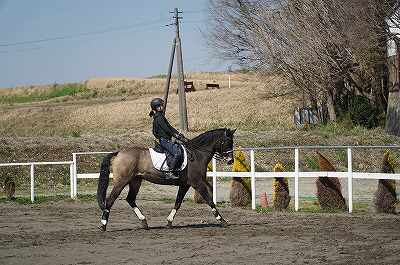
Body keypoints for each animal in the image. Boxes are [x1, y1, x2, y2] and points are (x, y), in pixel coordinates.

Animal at [97, 127, 236, 229]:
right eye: (226, 142)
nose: (230, 161)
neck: (196, 155)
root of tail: (119, 153)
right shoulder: (198, 184)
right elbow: (210, 201)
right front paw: (222, 220)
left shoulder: (185, 185)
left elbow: (177, 203)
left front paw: (169, 222)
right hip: (121, 182)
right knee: (110, 200)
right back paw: (103, 224)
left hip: (135, 181)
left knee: (130, 199)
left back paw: (144, 221)